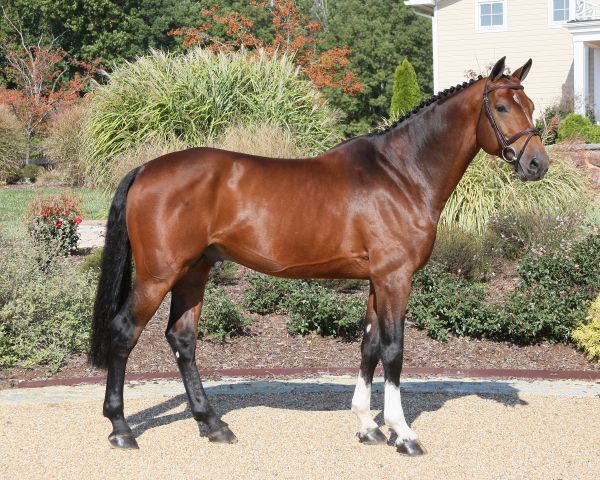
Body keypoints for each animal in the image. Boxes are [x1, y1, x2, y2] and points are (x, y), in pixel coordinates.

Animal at [90, 56, 549, 455]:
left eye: (530, 106)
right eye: (502, 106)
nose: (537, 164)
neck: (401, 174)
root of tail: (145, 169)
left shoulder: (376, 280)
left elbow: (369, 346)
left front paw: (367, 427)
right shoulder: (395, 278)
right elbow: (394, 351)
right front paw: (402, 433)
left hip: (194, 271)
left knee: (182, 339)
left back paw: (213, 424)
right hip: (158, 275)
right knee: (124, 332)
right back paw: (121, 429)